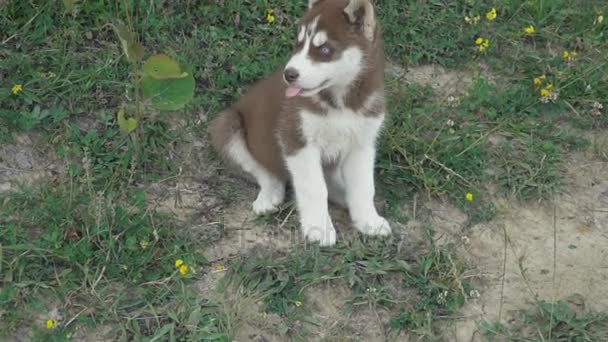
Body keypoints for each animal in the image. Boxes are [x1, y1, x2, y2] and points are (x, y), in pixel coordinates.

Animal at [208, 0, 390, 246]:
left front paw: (368, 221)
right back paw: (269, 195)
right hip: (227, 127)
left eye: (325, 49)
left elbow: (363, 187)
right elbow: (314, 188)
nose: (289, 74)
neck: (341, 103)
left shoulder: (362, 143)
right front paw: (319, 227)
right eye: (299, 43)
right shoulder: (296, 140)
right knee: (266, 172)